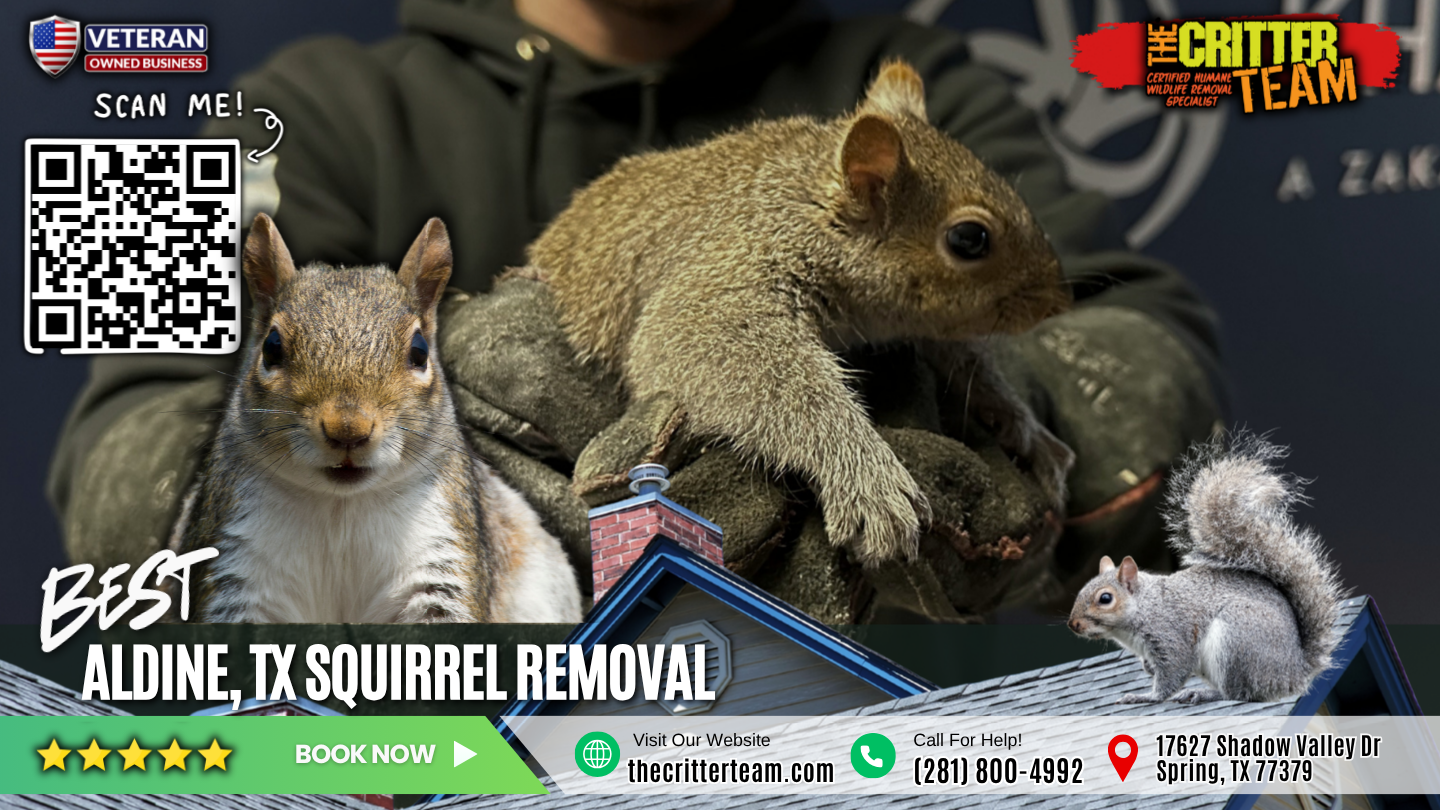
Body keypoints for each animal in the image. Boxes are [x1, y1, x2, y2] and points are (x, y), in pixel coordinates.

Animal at [169, 214, 582, 624]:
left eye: (419, 351)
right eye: (271, 348)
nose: (347, 429)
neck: (340, 507)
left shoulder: (441, 554)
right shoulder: (236, 562)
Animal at [526, 59, 1074, 567]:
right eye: (969, 239)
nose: (1058, 300)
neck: (803, 202)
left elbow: (966, 362)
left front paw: (1030, 432)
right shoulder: (725, 273)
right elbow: (709, 346)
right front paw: (869, 481)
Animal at [1068, 433, 1346, 704]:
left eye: (1105, 598)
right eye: (1080, 591)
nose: (1073, 625)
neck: (1144, 607)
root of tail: (1295, 673)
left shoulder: (1170, 635)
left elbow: (1173, 673)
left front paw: (1144, 696)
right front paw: (1146, 669)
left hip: (1236, 641)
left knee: (1239, 693)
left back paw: (1203, 693)